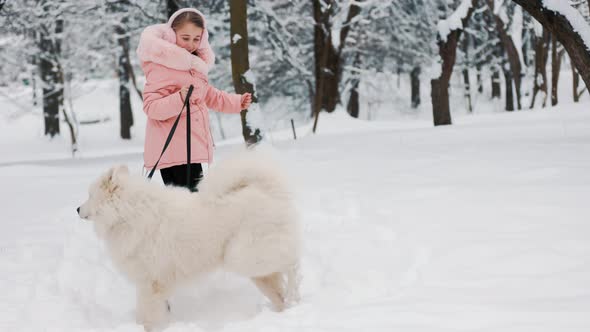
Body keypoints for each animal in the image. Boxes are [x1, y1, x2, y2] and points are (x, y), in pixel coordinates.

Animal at [77, 152, 300, 330]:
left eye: (89, 195)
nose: (77, 209)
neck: (127, 213)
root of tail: (267, 192)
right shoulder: (155, 284)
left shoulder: (150, 284)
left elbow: (147, 315)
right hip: (256, 268)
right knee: (279, 287)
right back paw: (286, 308)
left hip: (244, 256)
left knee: (291, 262)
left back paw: (295, 291)